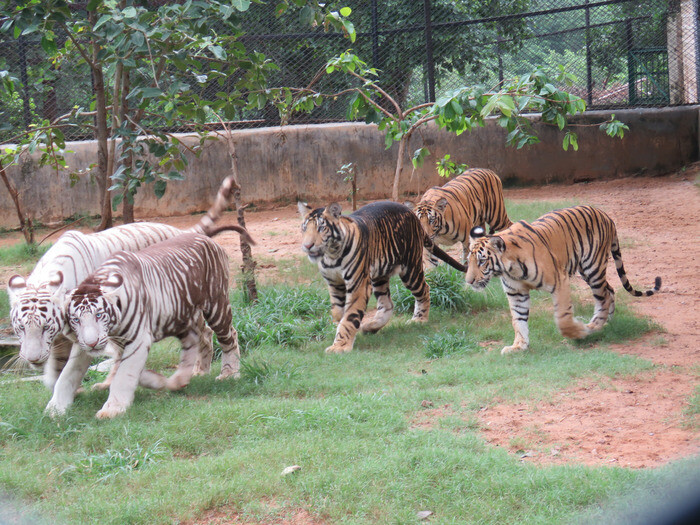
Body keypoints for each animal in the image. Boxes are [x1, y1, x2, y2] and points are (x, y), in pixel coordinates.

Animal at [6, 175, 238, 388]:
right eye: (20, 328)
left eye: (45, 327)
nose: (33, 358)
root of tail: (180, 231)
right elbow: (58, 363)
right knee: (205, 333)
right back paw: (200, 370)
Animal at [47, 224, 254, 418]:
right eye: (75, 319)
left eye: (98, 315)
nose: (91, 343)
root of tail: (205, 238)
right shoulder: (98, 345)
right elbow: (73, 374)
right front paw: (55, 408)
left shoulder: (138, 340)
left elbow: (124, 374)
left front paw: (112, 409)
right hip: (180, 316)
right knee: (194, 341)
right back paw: (184, 378)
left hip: (216, 304)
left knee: (229, 336)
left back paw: (229, 373)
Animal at [298, 199, 468, 354]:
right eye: (304, 228)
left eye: (321, 228)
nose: (307, 246)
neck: (330, 256)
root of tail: (412, 214)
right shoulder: (335, 285)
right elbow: (339, 313)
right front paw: (341, 335)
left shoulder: (358, 285)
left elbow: (349, 316)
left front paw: (340, 346)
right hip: (379, 276)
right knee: (387, 304)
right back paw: (371, 327)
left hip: (410, 270)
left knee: (424, 289)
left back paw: (419, 319)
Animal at [464, 204, 660, 352]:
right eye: (469, 260)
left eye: (482, 261)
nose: (469, 281)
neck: (510, 268)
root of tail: (606, 216)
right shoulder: (516, 293)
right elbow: (518, 320)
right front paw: (519, 346)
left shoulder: (559, 281)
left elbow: (563, 317)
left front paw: (578, 333)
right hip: (588, 271)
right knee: (609, 291)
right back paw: (606, 322)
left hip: (592, 268)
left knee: (603, 296)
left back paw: (594, 326)